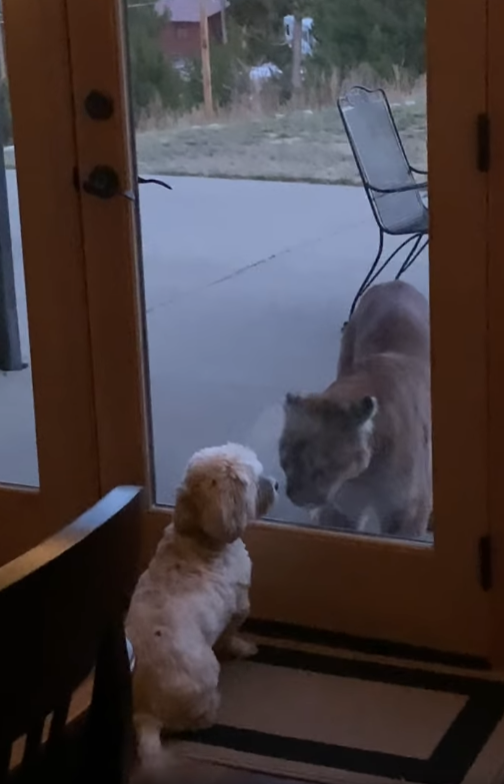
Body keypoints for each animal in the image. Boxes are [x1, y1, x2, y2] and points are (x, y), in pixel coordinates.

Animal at [126, 443, 277, 768]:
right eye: (252, 481)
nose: (276, 484)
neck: (197, 535)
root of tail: (146, 714)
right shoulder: (239, 606)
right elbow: (232, 634)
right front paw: (244, 647)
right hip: (206, 676)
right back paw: (212, 712)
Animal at [279, 280, 432, 538]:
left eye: (321, 467)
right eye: (285, 459)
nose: (294, 495)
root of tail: (395, 283)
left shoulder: (406, 512)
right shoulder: (344, 510)